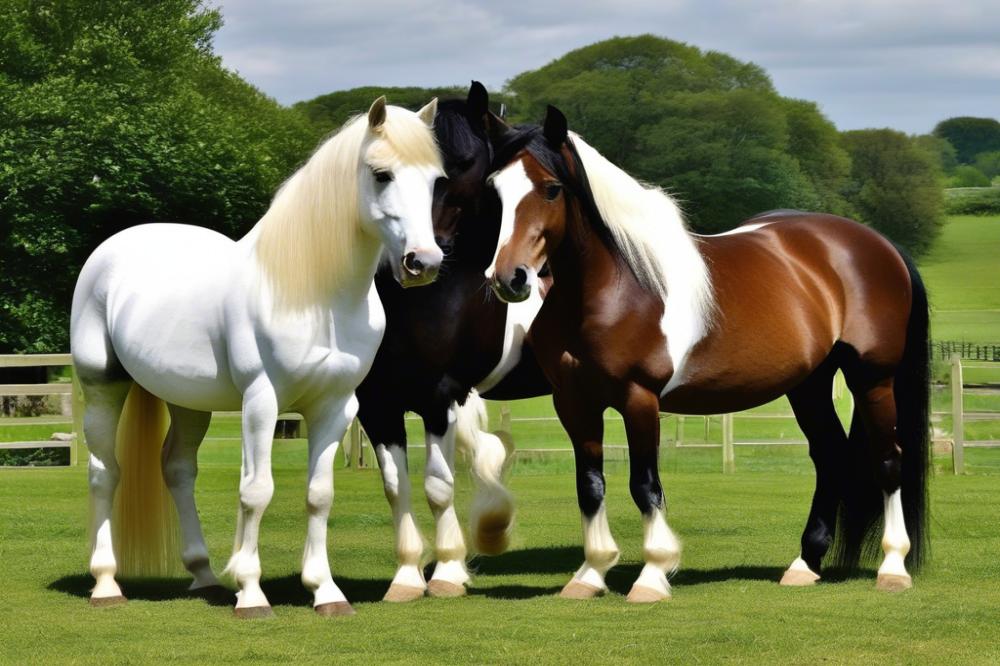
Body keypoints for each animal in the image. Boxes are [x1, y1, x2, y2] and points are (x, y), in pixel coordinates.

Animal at [70, 96, 442, 616]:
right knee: (104, 473)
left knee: (178, 470)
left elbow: (319, 495)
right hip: (103, 385)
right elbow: (256, 491)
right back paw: (106, 584)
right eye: (381, 173)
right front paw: (250, 592)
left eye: (434, 180)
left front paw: (325, 592)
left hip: (188, 401)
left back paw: (204, 576)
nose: (423, 263)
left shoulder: (336, 407)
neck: (314, 293)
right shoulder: (261, 401)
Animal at [484, 106, 928, 600]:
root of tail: (880, 245)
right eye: (495, 188)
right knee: (831, 455)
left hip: (872, 377)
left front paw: (653, 575)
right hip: (809, 384)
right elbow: (590, 485)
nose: (509, 277)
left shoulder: (640, 399)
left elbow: (645, 485)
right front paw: (590, 575)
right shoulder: (574, 403)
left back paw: (893, 567)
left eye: (551, 188)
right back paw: (805, 564)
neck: (614, 288)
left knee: (888, 460)